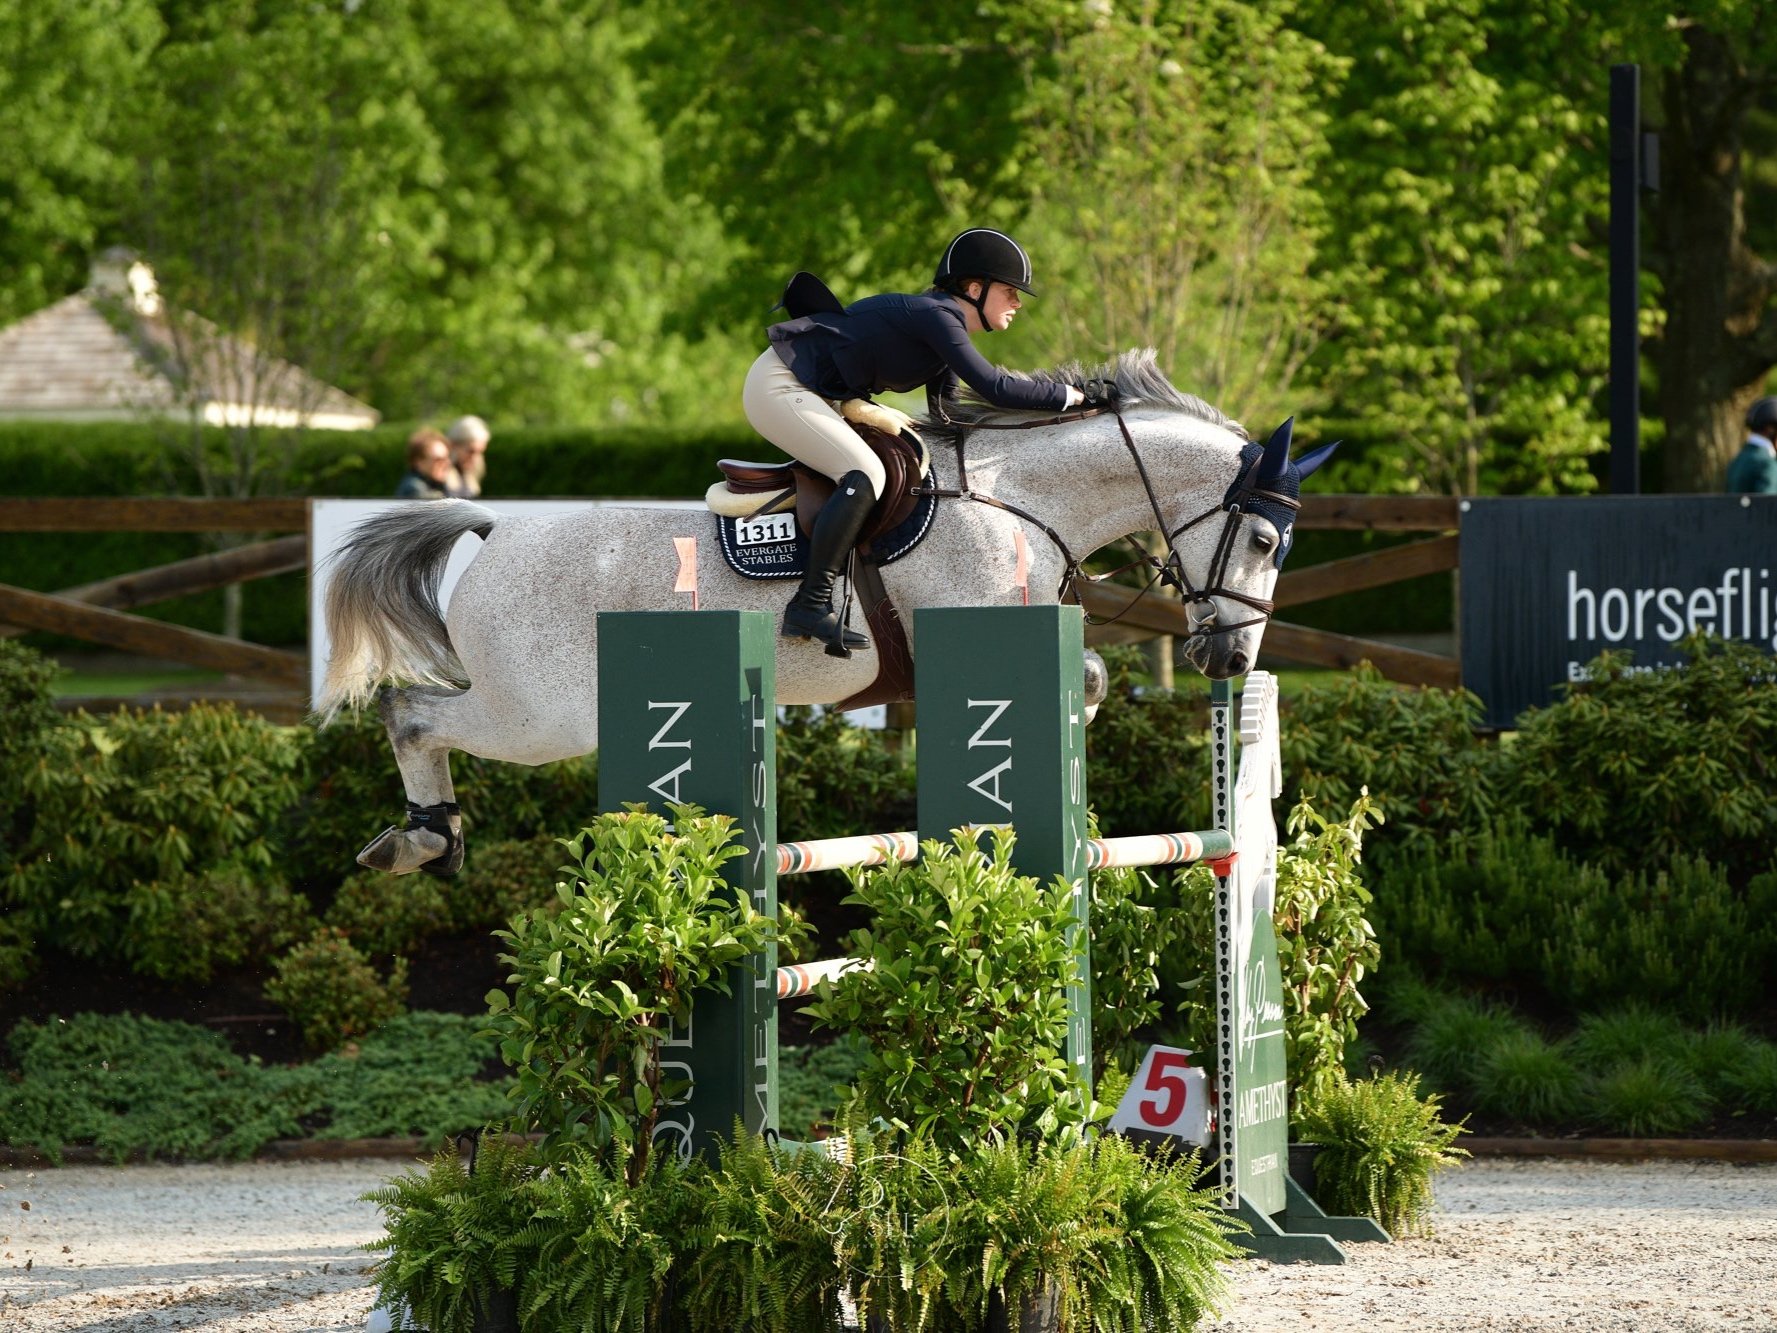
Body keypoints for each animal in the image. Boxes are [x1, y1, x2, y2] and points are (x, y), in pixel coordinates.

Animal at [319, 355, 1329, 878]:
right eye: (1263, 543)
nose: (1229, 658)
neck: (1017, 498)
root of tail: (497, 531)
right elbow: (1077, 680)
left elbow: (1090, 675)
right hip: (542, 717)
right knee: (411, 713)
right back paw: (423, 837)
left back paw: (423, 837)